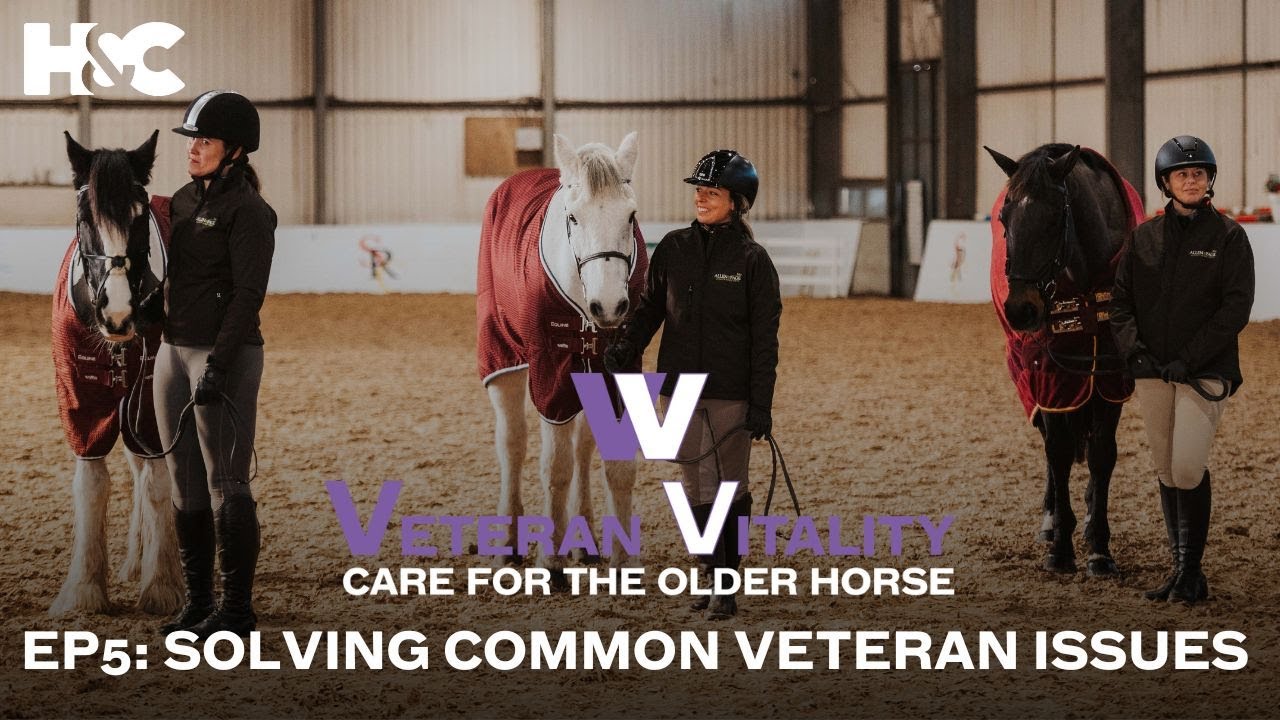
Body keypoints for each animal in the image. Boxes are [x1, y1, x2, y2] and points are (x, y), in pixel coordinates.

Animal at [48, 131, 183, 615]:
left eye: (139, 215)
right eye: (85, 217)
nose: (119, 314)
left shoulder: (150, 398)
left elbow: (159, 482)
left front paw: (162, 583)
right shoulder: (80, 397)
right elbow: (93, 484)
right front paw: (85, 588)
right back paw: (133, 561)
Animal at [476, 133, 648, 581]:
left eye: (631, 216)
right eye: (573, 217)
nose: (610, 306)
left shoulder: (618, 372)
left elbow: (618, 466)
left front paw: (623, 560)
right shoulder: (549, 370)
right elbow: (555, 467)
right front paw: (549, 561)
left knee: (583, 447)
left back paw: (584, 540)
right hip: (501, 353)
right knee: (512, 444)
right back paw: (508, 544)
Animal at [985, 144, 1145, 576]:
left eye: (1055, 217)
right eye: (1003, 218)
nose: (1021, 310)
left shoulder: (1110, 376)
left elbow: (1102, 454)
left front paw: (1099, 548)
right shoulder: (1052, 376)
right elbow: (1056, 451)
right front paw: (1060, 547)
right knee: (1047, 440)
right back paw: (1051, 519)